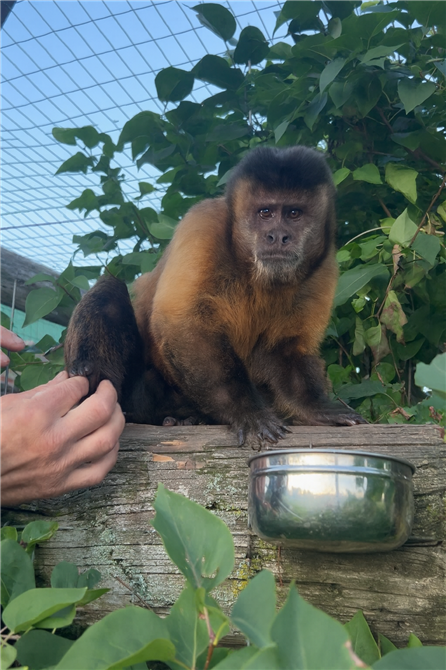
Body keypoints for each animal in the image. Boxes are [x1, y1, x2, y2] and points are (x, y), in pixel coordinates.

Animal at [65, 145, 366, 445]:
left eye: (293, 213)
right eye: (265, 213)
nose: (277, 236)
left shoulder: (324, 265)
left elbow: (284, 346)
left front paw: (314, 408)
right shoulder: (205, 223)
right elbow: (182, 324)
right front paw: (247, 411)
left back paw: (185, 418)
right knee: (110, 290)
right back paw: (97, 382)